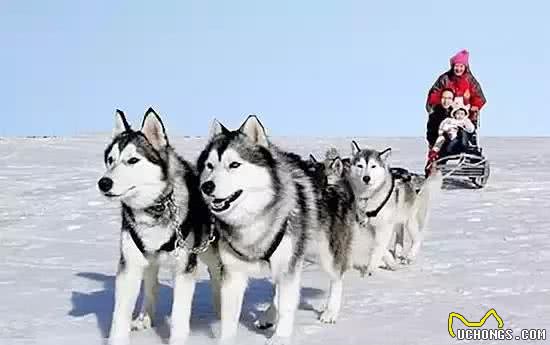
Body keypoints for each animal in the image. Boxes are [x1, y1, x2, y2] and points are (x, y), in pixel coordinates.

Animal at [99, 108, 222, 344]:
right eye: (110, 160)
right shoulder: (130, 265)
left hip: (211, 253)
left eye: (133, 160)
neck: (154, 209)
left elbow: (179, 317)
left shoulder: (184, 269)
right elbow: (119, 316)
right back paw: (144, 318)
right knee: (151, 286)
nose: (104, 183)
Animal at [198, 115, 320, 344]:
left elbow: (287, 306)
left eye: (234, 164)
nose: (207, 187)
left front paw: (280, 338)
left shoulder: (288, 266)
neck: (253, 219)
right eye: (210, 165)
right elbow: (229, 317)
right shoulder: (233, 274)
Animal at [350, 139, 444, 272]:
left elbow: (379, 247)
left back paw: (409, 257)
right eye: (360, 166)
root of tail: (421, 179)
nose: (366, 178)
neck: (370, 196)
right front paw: (391, 263)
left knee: (418, 239)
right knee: (400, 236)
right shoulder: (369, 227)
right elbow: (381, 248)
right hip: (398, 219)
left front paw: (371, 269)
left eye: (373, 166)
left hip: (411, 221)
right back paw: (398, 252)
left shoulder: (384, 226)